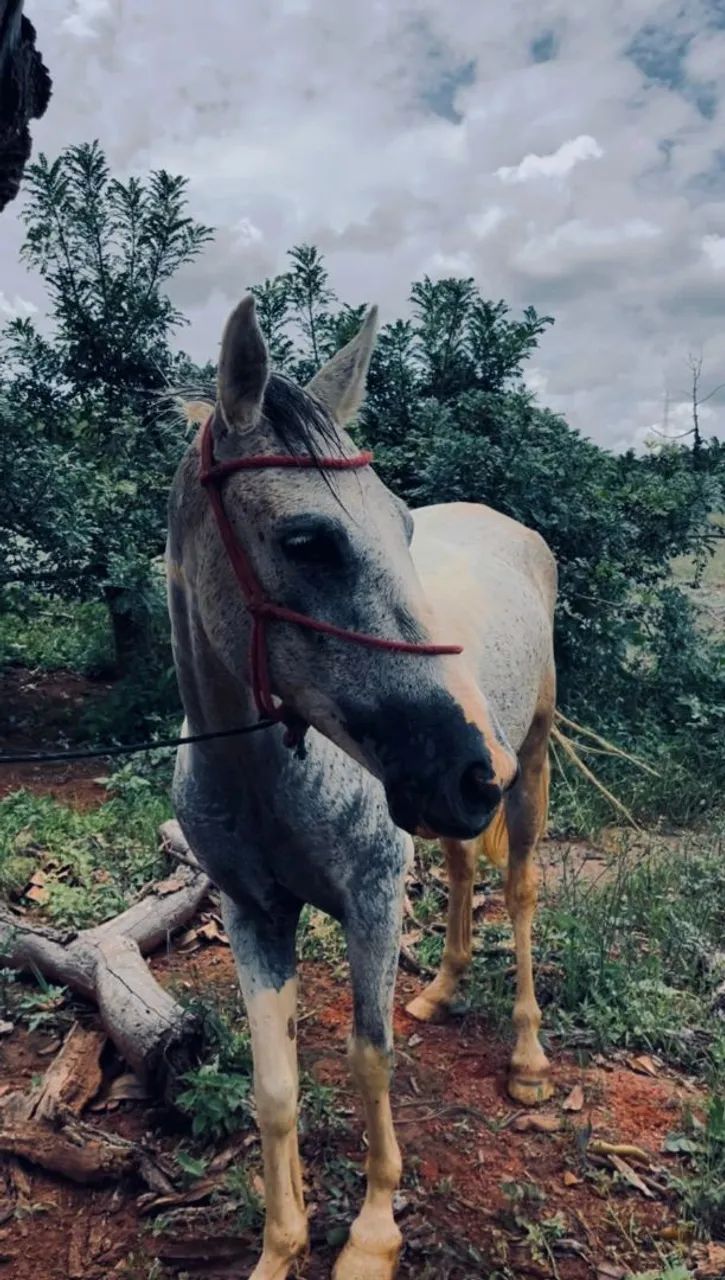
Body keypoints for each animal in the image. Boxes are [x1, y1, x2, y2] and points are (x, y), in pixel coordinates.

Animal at [167, 296, 557, 1280]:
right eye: (307, 541)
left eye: (401, 529)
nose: (468, 767)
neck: (267, 776)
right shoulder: (251, 912)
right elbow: (274, 1086)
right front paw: (282, 1244)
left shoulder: (373, 899)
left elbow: (368, 1058)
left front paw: (372, 1235)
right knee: (460, 869)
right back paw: (443, 990)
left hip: (526, 767)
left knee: (518, 891)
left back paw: (528, 1058)